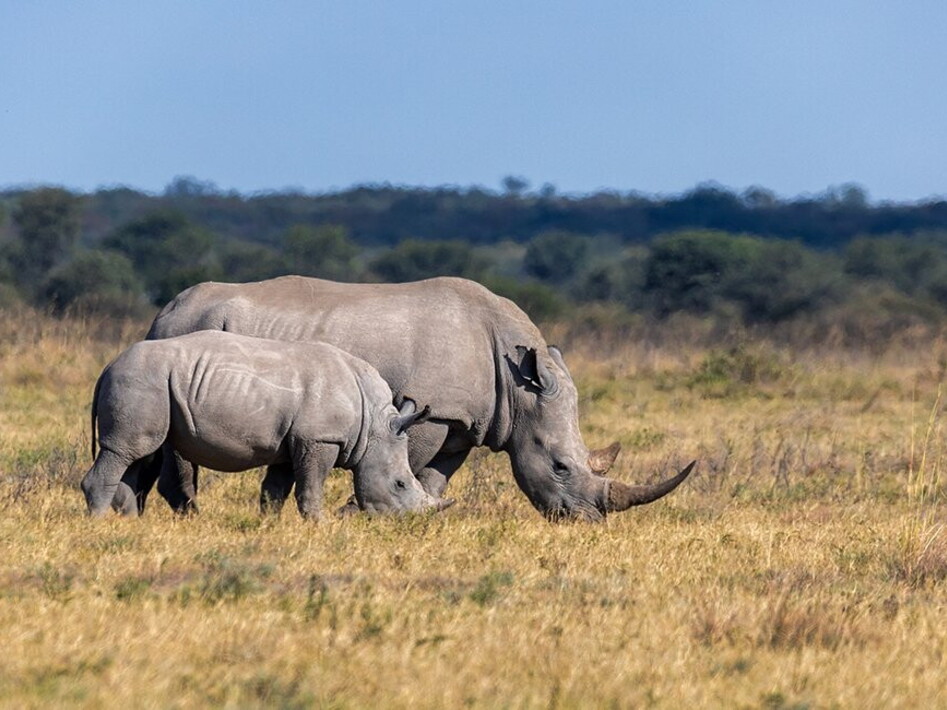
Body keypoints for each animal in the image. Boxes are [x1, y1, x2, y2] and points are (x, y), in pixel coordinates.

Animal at [80, 330, 451, 518]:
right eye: (400, 484)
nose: (407, 524)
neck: (373, 424)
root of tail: (107, 366)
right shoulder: (320, 440)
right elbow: (311, 487)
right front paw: (319, 525)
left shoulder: (294, 443)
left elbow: (275, 491)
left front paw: (268, 526)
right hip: (141, 380)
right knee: (126, 450)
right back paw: (99, 524)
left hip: (150, 385)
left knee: (134, 454)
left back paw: (129, 523)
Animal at [145, 276, 694, 522]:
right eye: (560, 466)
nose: (587, 521)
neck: (516, 383)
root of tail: (163, 312)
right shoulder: (432, 411)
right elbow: (411, 461)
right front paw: (366, 511)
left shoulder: (464, 423)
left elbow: (434, 475)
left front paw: (424, 512)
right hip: (188, 334)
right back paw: (190, 516)